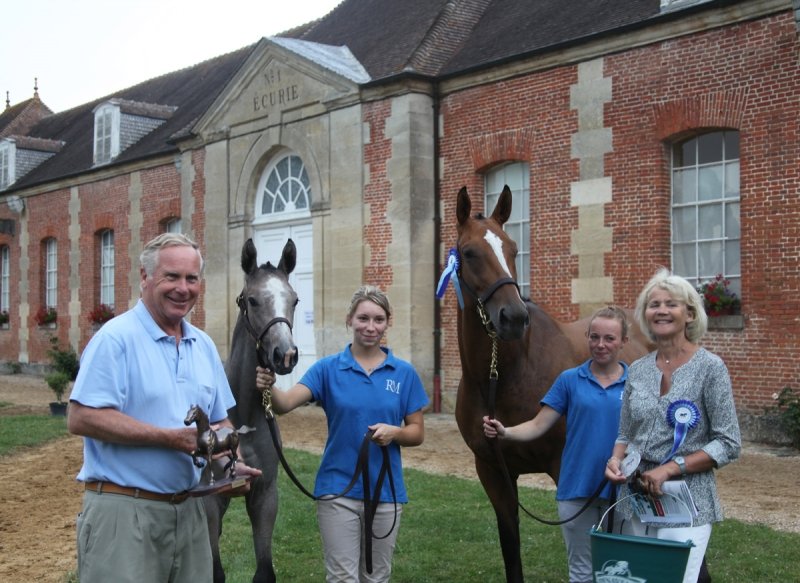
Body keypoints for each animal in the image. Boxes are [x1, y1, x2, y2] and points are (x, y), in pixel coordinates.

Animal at [203, 237, 299, 583]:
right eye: (252, 300)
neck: (241, 416)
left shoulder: (264, 495)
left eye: (294, 299)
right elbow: (214, 572)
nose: (286, 355)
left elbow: (265, 571)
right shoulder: (210, 501)